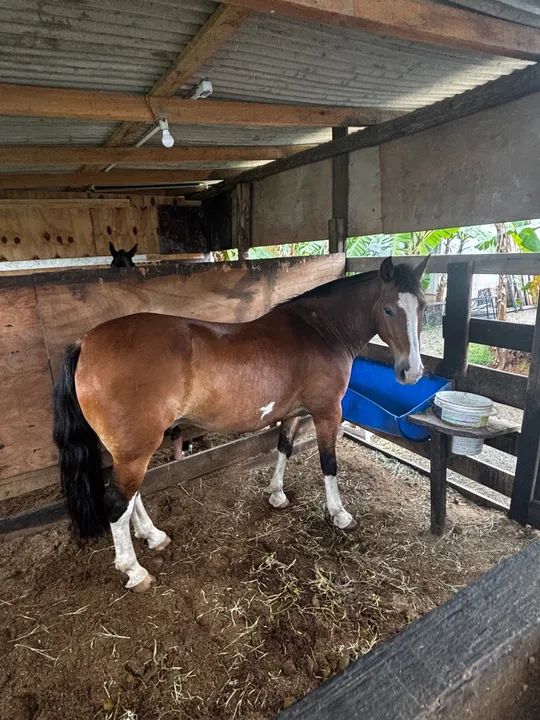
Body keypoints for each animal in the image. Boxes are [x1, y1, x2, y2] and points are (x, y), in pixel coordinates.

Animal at [53, 256, 429, 592]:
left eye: (423, 307)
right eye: (389, 309)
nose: (411, 372)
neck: (319, 331)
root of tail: (86, 342)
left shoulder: (291, 413)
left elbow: (283, 449)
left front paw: (276, 494)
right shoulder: (327, 412)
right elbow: (329, 464)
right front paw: (339, 513)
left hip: (129, 448)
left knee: (132, 496)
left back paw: (153, 535)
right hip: (135, 449)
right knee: (118, 503)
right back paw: (135, 571)